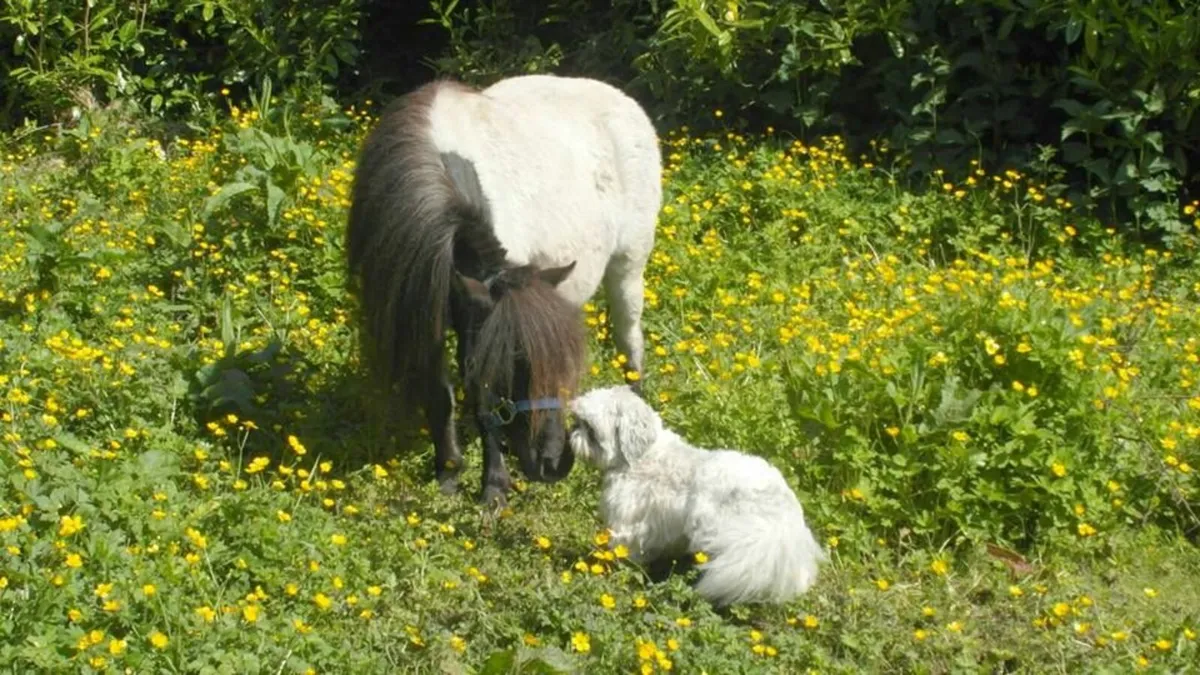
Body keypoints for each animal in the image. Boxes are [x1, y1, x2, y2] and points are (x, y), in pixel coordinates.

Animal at [346, 74, 662, 506]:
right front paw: (450, 473)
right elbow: (441, 395)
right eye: (512, 365)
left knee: (630, 339)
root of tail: (623, 101)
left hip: (628, 266)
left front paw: (493, 486)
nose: (553, 464)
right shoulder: (429, 314)